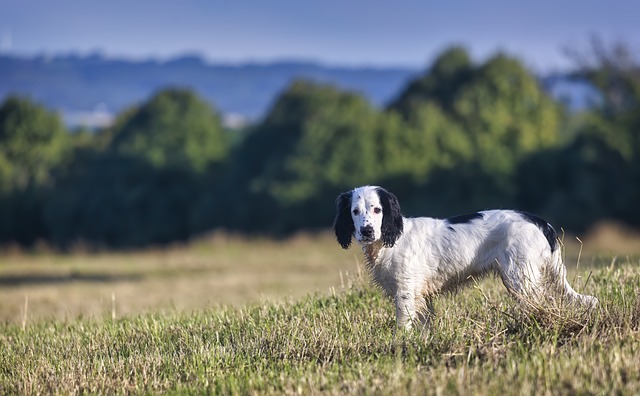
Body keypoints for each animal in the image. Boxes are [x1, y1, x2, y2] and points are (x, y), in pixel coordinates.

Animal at [332, 186, 596, 332]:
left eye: (377, 209)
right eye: (355, 211)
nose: (366, 231)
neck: (391, 241)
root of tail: (541, 222)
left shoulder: (405, 293)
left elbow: (402, 326)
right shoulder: (421, 296)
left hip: (520, 279)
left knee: (544, 303)